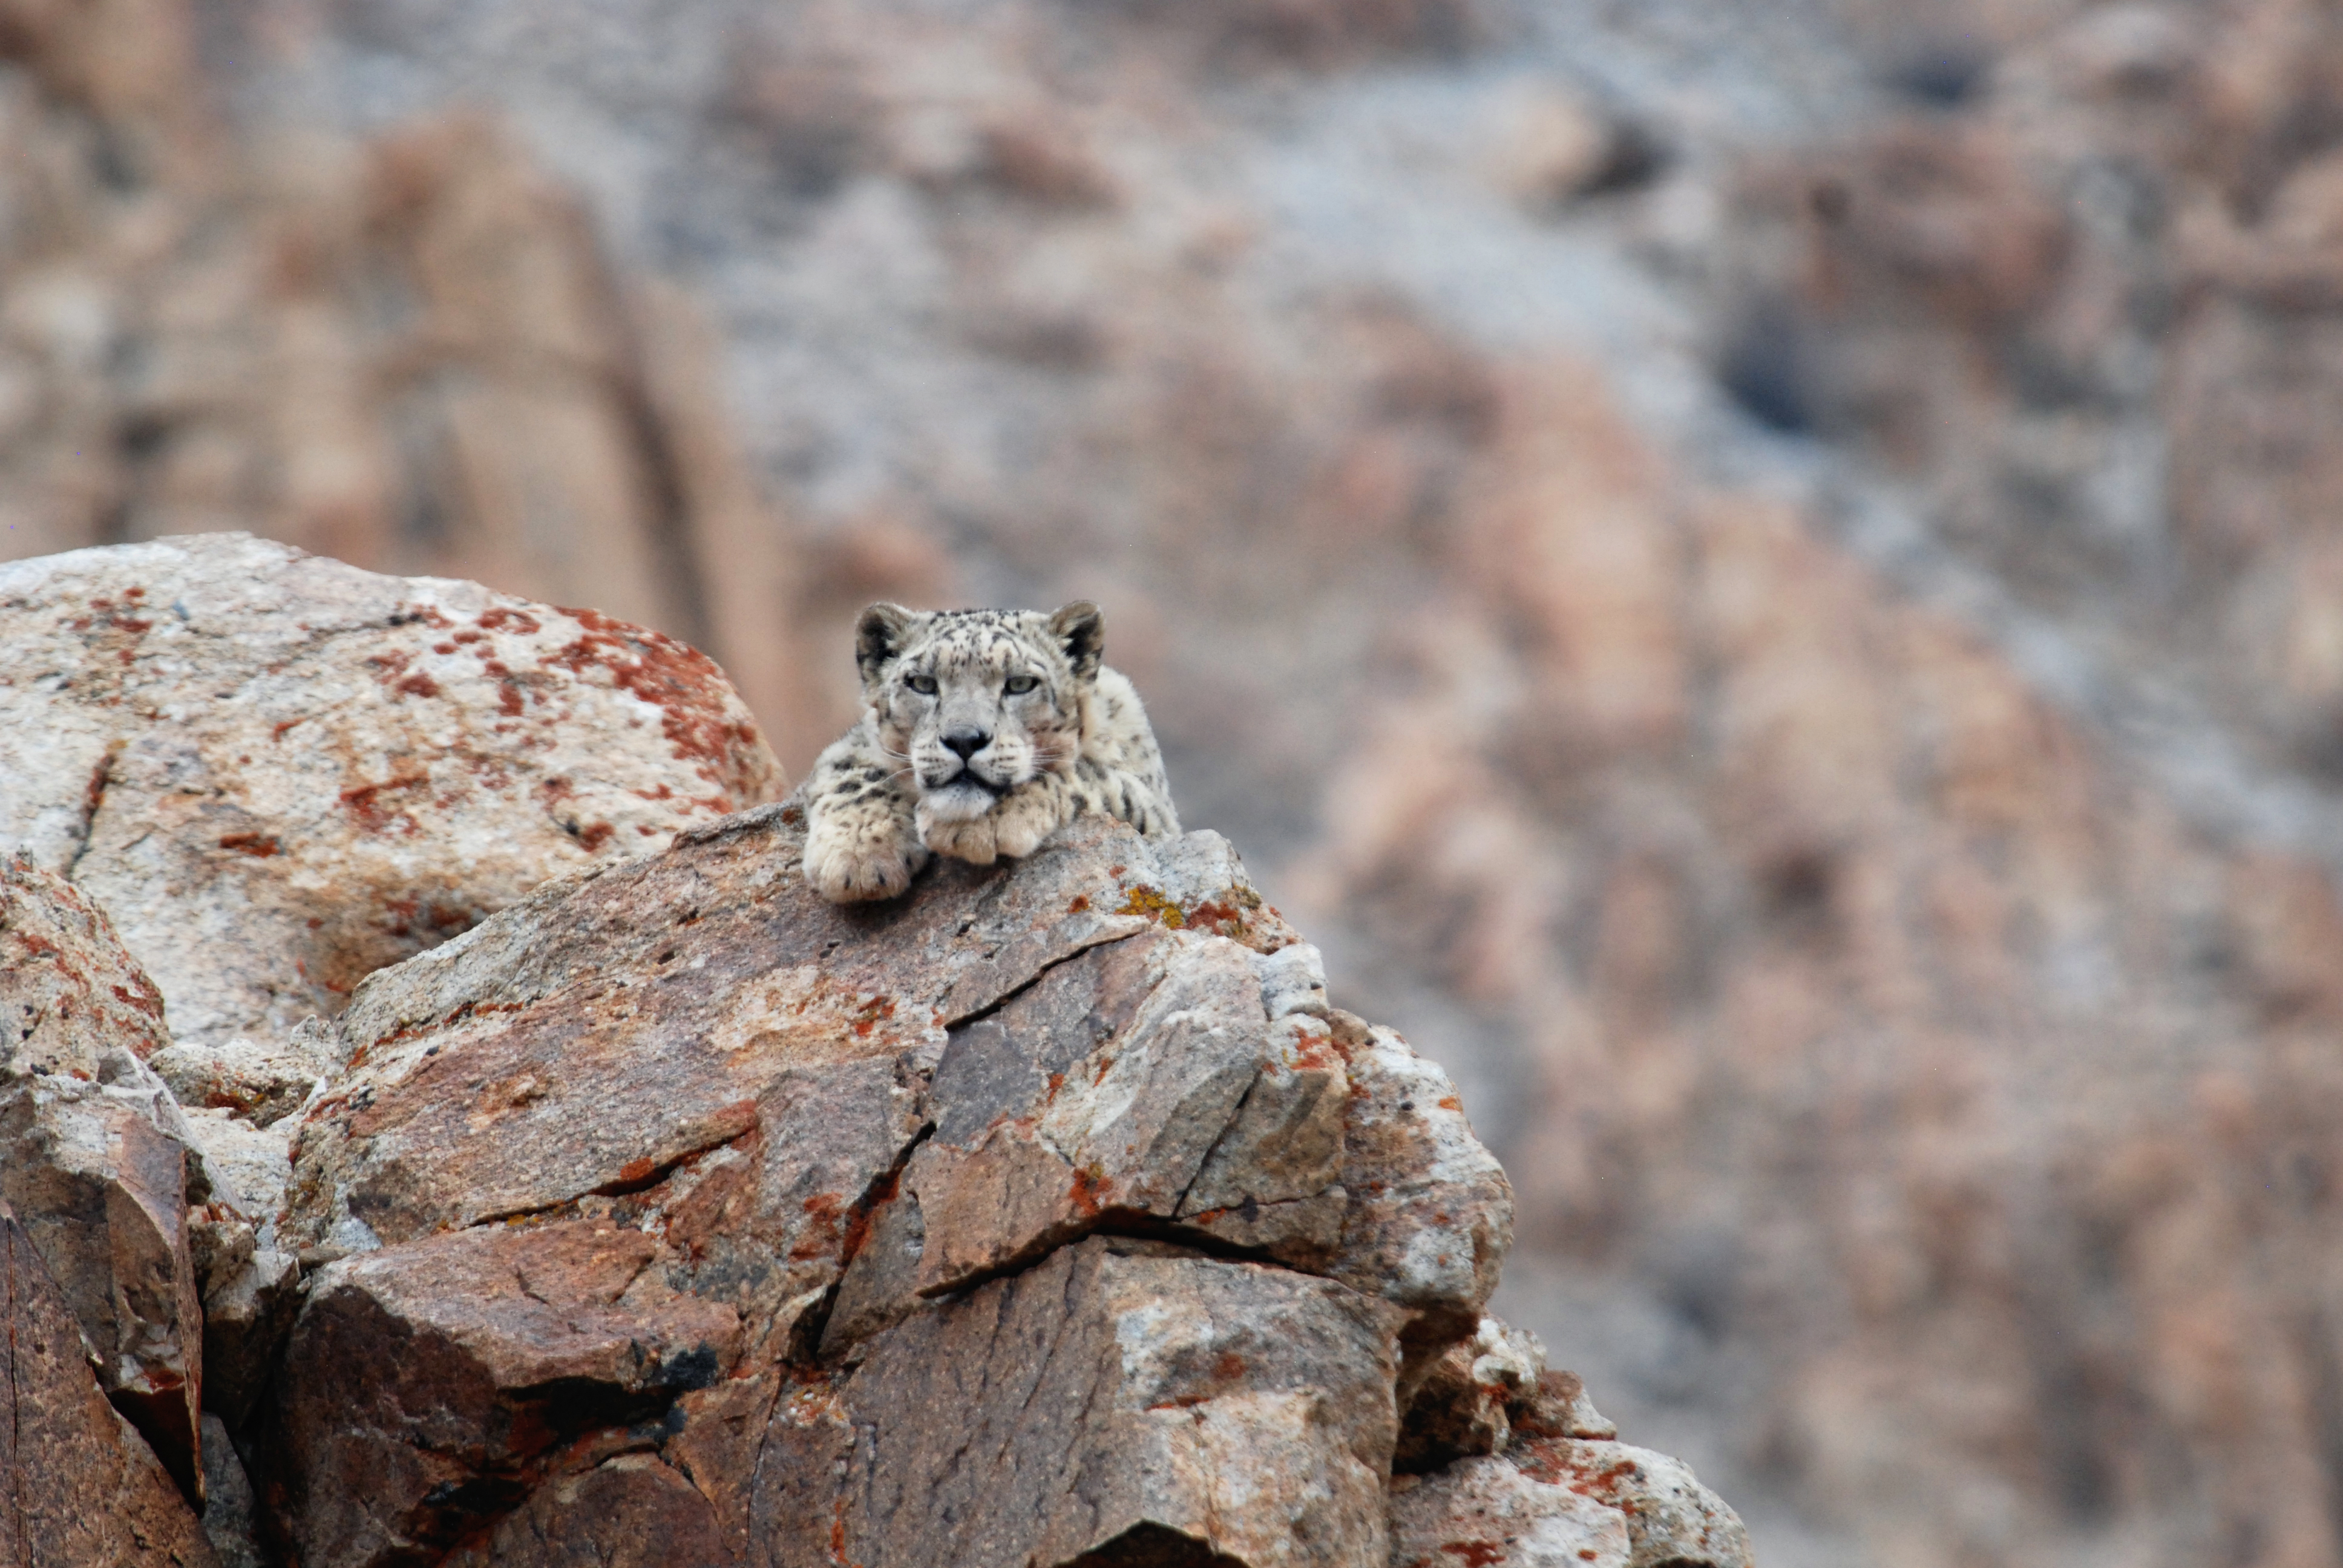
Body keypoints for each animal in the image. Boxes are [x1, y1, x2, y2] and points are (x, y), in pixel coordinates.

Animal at [796, 600, 1180, 903]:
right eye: (922, 683)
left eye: (1020, 684)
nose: (964, 739)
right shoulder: (855, 742)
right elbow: (854, 775)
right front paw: (859, 854)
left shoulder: (1160, 817)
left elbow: (1087, 775)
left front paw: (981, 824)